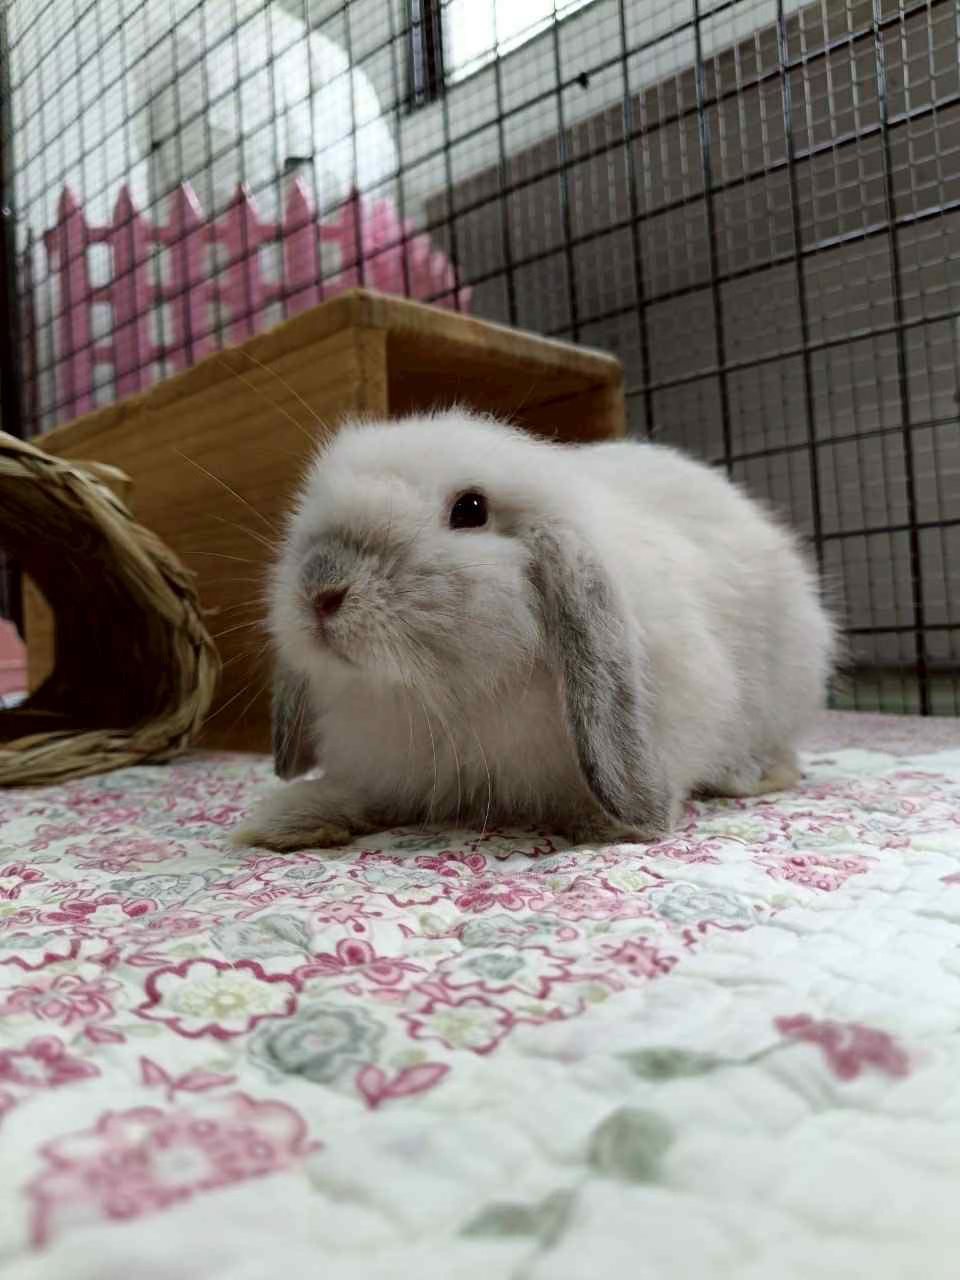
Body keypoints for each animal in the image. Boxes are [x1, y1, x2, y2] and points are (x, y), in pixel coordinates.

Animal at [233, 409, 836, 851]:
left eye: (471, 509)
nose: (320, 589)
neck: (442, 698)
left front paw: (604, 822)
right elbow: (364, 794)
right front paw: (289, 820)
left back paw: (751, 773)